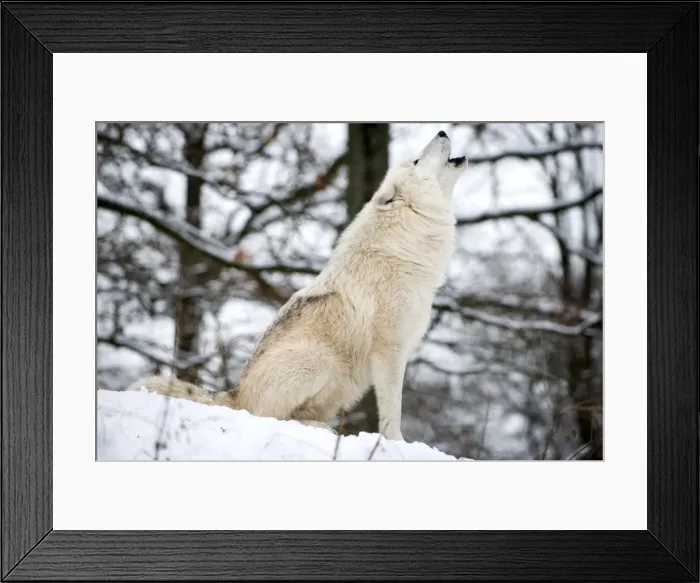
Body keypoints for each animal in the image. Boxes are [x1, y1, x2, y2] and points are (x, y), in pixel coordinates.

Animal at [127, 130, 467, 441]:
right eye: (417, 160)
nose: (441, 131)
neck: (405, 246)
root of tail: (236, 394)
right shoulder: (390, 350)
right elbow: (392, 409)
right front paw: (396, 443)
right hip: (318, 361)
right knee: (273, 417)